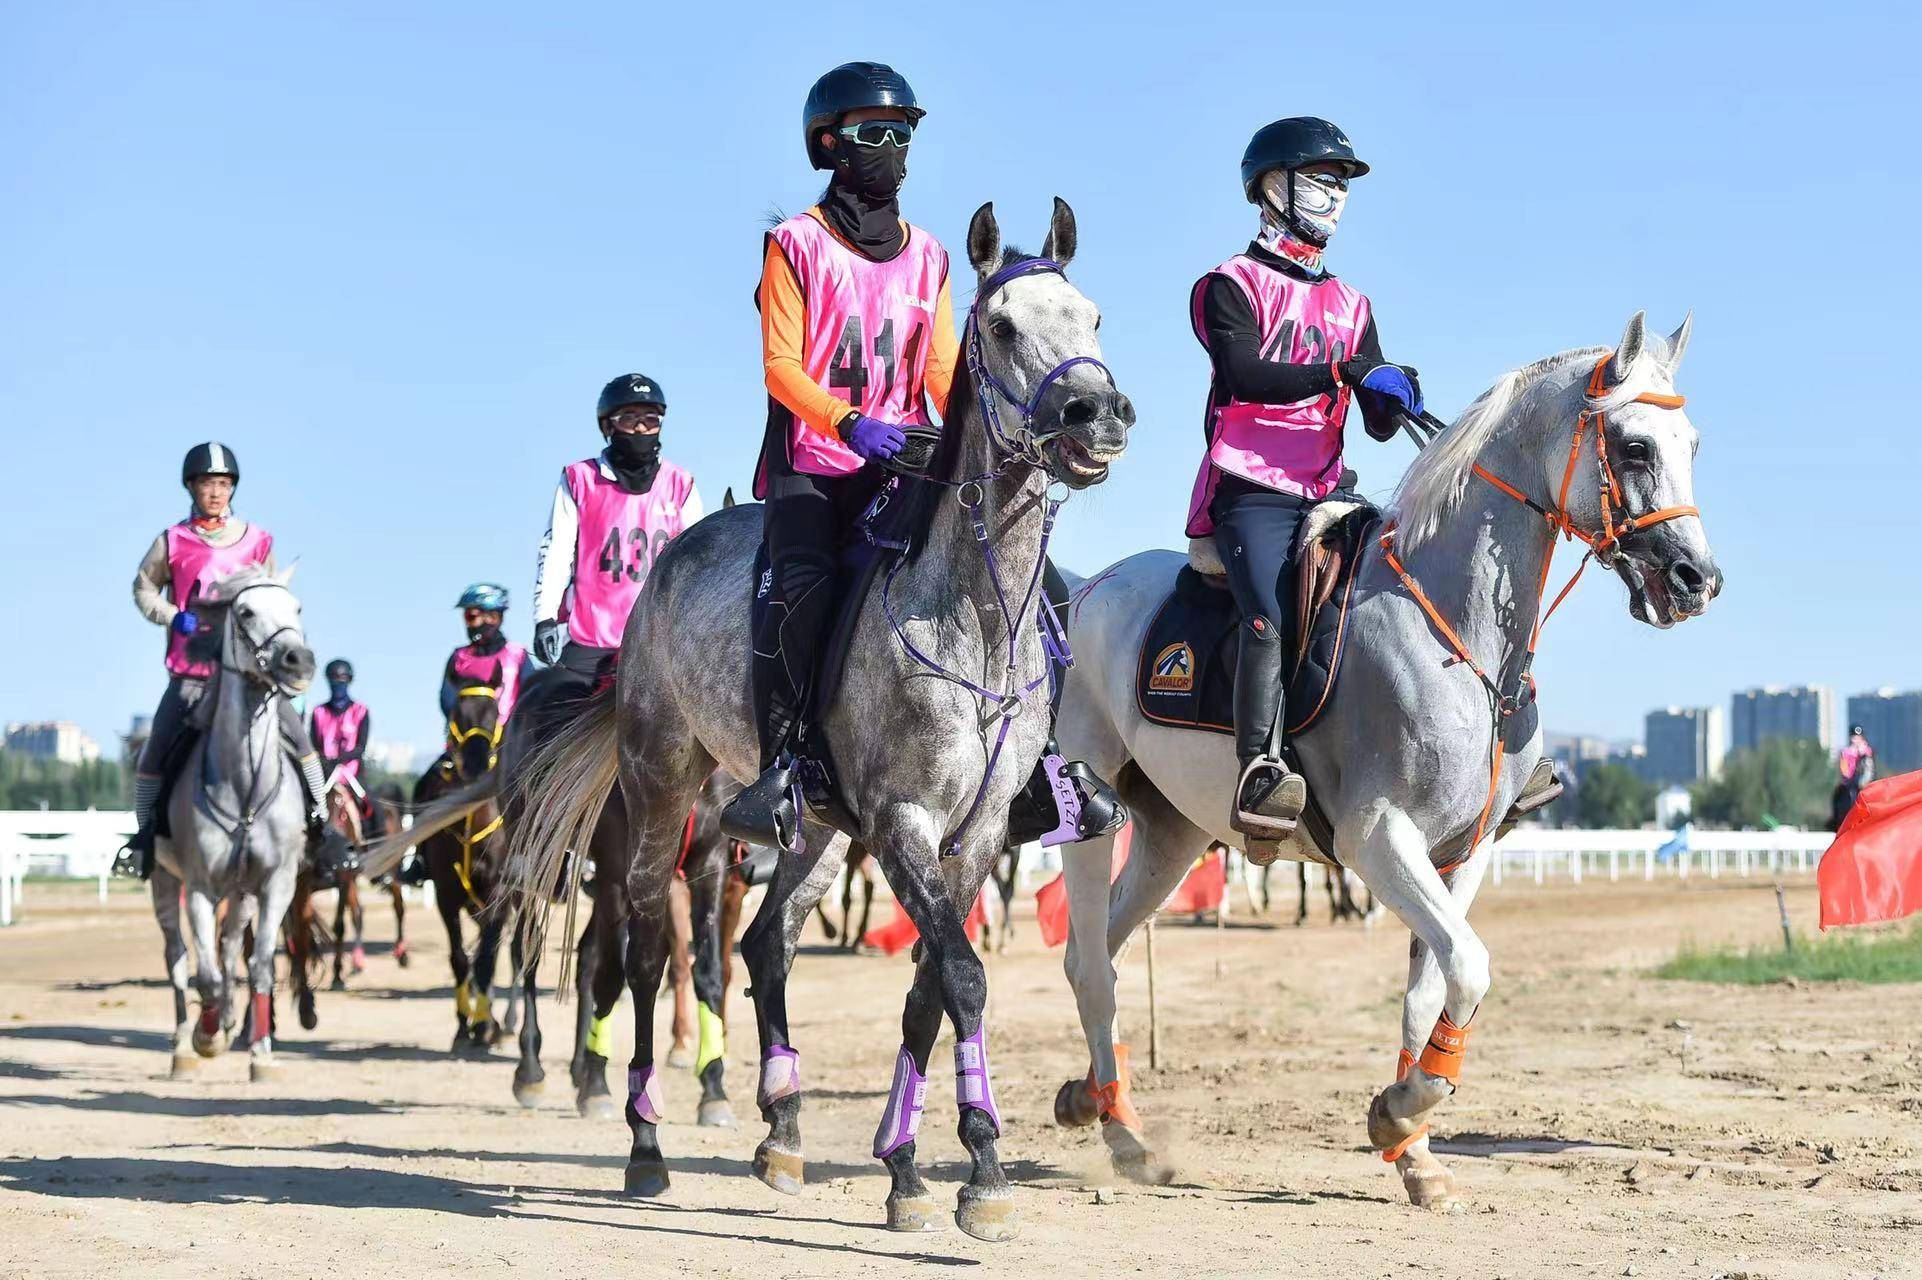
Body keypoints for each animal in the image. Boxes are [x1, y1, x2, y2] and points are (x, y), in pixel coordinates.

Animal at [147, 565, 313, 1076]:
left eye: (297, 607)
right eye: (246, 612)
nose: (300, 660)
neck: (245, 792)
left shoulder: (275, 884)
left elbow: (258, 965)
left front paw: (261, 1052)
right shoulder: (200, 886)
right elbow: (204, 974)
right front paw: (208, 1037)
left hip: (241, 895)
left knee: (227, 948)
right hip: (164, 880)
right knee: (178, 958)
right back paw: (186, 1043)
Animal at [511, 199, 1130, 1237]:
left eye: (1092, 317)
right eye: (1003, 326)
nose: (1097, 412)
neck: (973, 619)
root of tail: (665, 567)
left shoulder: (975, 838)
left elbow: (928, 987)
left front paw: (913, 1169)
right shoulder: (903, 823)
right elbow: (963, 976)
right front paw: (983, 1177)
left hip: (819, 829)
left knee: (766, 944)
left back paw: (783, 1130)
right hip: (662, 788)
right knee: (645, 952)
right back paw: (645, 1144)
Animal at [1053, 311, 1729, 1206]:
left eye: (1691, 443)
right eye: (1636, 446)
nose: (1695, 580)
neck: (1456, 633)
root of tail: (1087, 591)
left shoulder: (1462, 853)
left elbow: (1431, 987)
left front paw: (1417, 1153)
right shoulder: (1378, 839)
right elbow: (1470, 967)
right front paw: (1401, 1109)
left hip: (1172, 832)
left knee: (1098, 951)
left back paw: (1094, 1101)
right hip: (1092, 805)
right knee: (1094, 963)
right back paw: (1125, 1137)